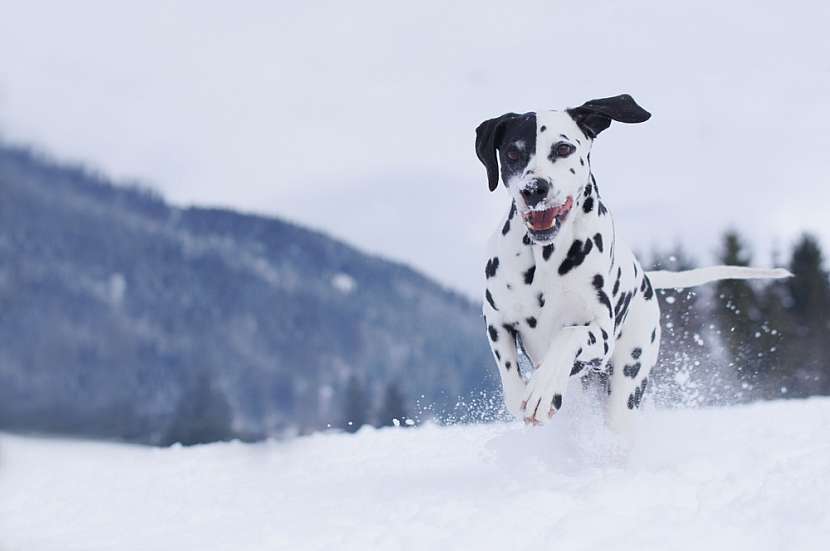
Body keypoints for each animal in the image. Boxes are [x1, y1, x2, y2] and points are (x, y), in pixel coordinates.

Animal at [478, 95, 788, 430]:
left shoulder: (600, 334)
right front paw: (530, 393)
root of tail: (646, 280)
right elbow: (510, 378)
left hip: (627, 381)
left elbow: (568, 335)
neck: (546, 258)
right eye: (512, 153)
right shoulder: (496, 320)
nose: (534, 189)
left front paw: (544, 389)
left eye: (563, 148)